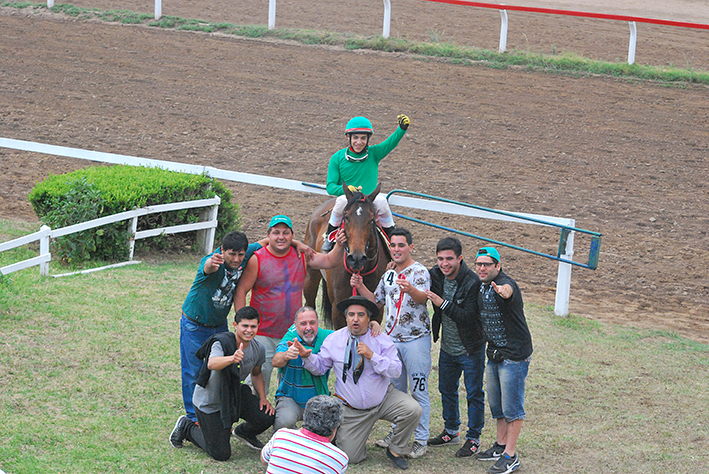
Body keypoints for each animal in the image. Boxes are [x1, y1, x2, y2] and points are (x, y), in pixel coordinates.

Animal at [302, 182, 392, 330]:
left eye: (371, 219)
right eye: (346, 217)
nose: (356, 258)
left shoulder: (377, 309)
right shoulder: (338, 309)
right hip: (311, 276)